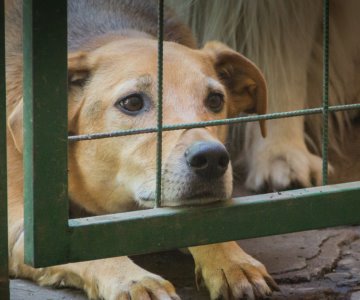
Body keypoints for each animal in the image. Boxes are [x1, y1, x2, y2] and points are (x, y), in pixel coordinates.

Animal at [4, 0, 278, 300]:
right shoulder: (26, 229)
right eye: (132, 102)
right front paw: (133, 280)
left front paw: (232, 260)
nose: (212, 158)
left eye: (216, 100)